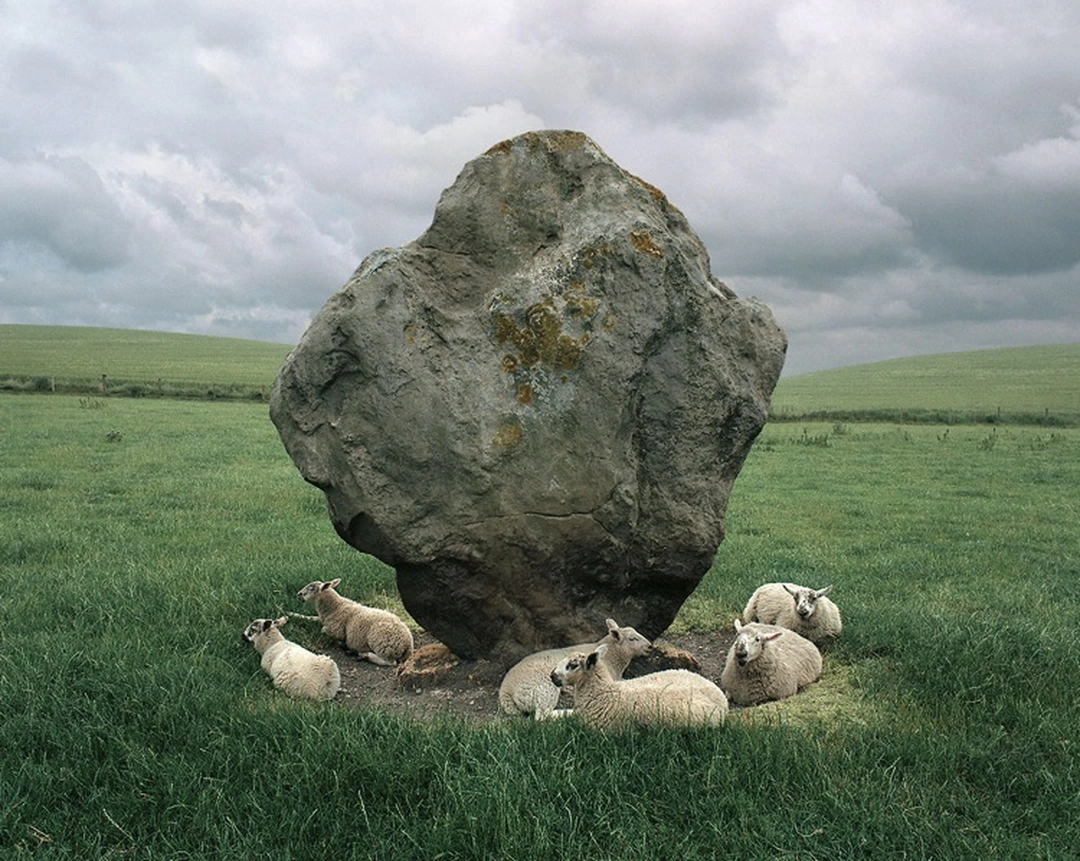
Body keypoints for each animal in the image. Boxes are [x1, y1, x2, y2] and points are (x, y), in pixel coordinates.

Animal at [498, 618, 652, 720]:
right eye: (632, 639)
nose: (650, 646)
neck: (613, 658)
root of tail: (505, 690)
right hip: (545, 688)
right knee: (542, 716)